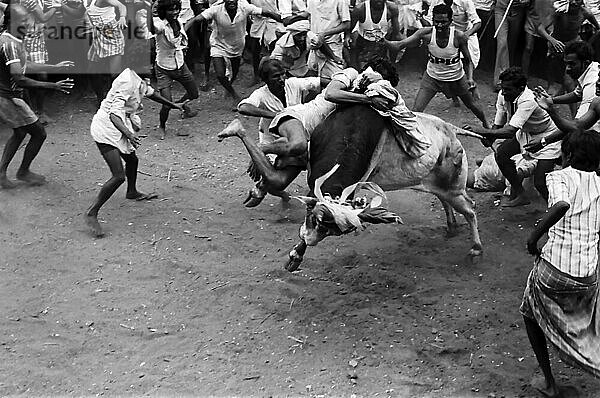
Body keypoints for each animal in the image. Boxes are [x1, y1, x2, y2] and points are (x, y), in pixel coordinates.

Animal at [284, 104, 482, 272]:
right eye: (315, 220)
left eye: (329, 230)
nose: (309, 239)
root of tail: (449, 129)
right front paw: (296, 255)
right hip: (437, 185)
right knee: (445, 200)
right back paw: (451, 227)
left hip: (454, 189)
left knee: (470, 209)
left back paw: (476, 248)